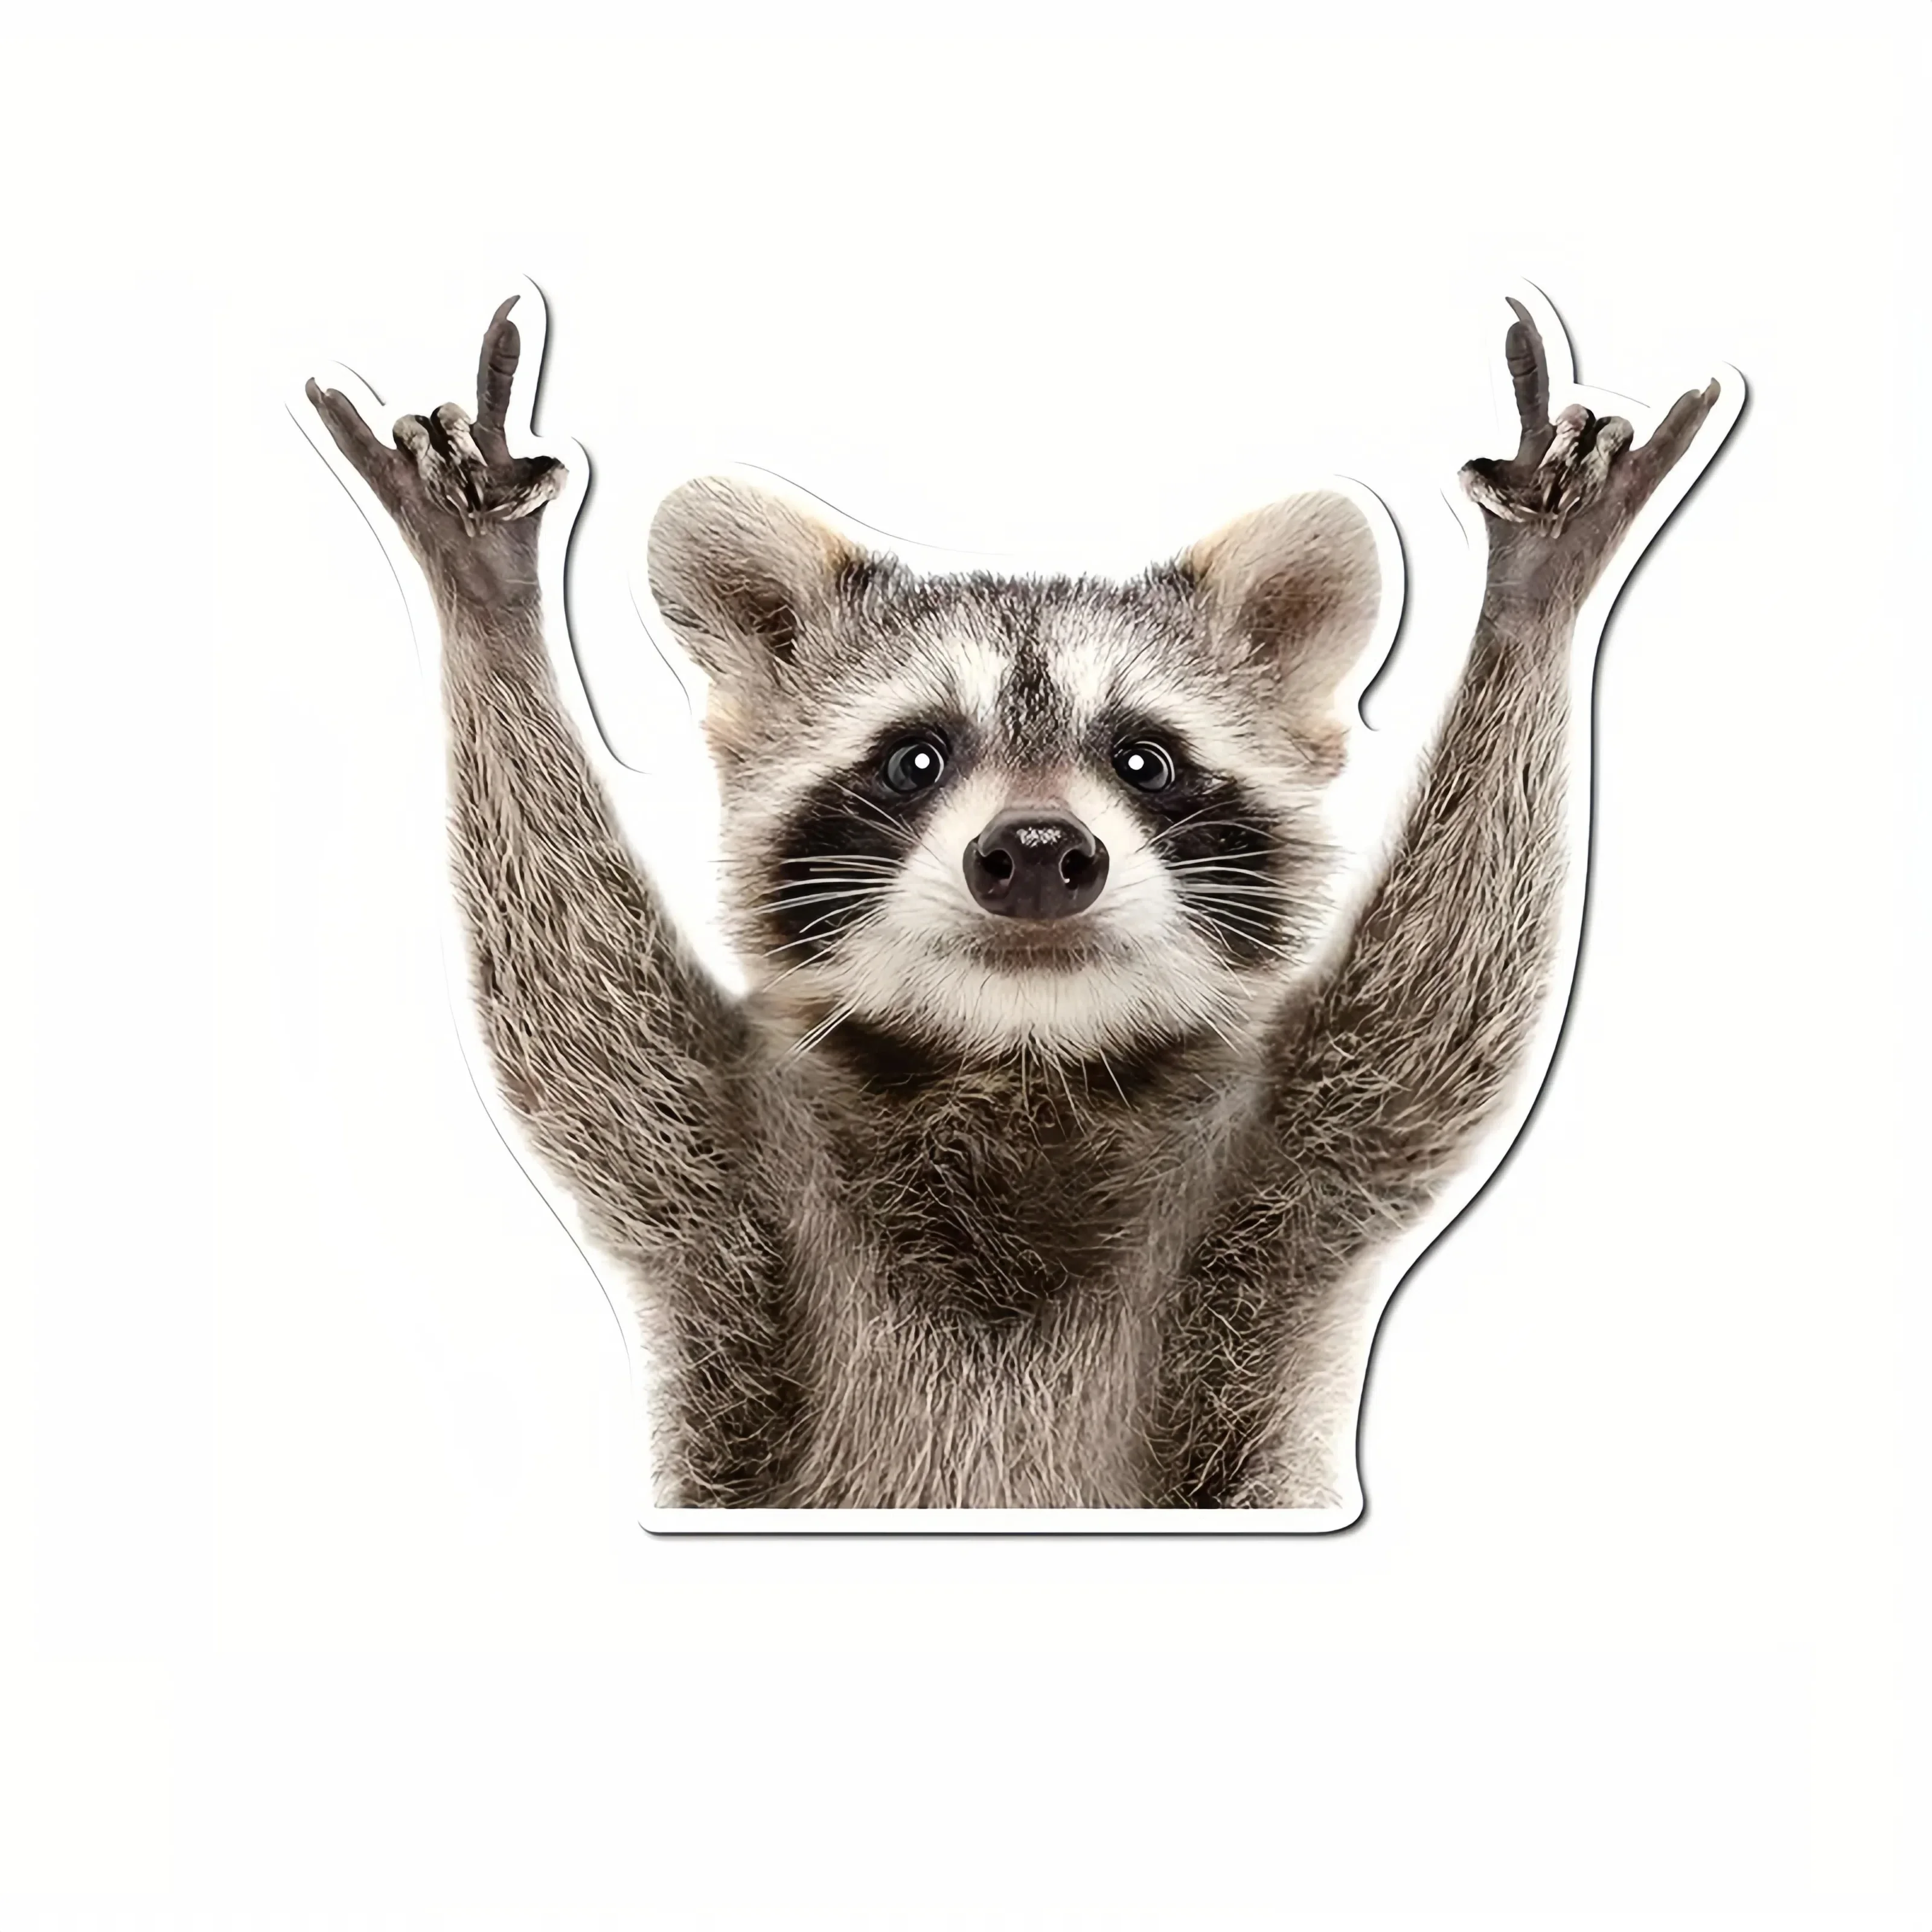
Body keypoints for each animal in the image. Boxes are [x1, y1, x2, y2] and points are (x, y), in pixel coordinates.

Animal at [305, 293, 1730, 1509]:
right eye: (915, 759)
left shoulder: (1289, 1176)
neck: (1019, 1057)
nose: (1039, 852)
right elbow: (573, 1012)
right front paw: (486, 604)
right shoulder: (726, 1177)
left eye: (1144, 760)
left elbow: (1440, 1013)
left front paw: (1532, 605)